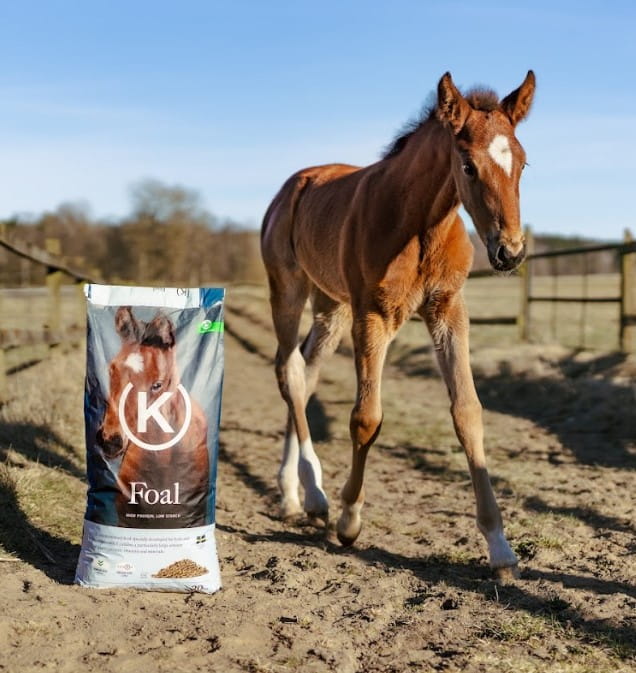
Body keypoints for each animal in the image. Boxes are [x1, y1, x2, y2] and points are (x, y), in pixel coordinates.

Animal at [261, 71, 535, 578]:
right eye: (468, 166)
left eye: (522, 164)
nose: (509, 252)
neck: (422, 225)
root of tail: (297, 182)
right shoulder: (373, 315)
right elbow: (366, 417)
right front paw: (349, 520)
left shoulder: (448, 311)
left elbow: (468, 412)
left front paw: (500, 547)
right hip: (288, 291)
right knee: (288, 371)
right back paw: (315, 493)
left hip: (331, 307)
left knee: (305, 375)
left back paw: (294, 494)